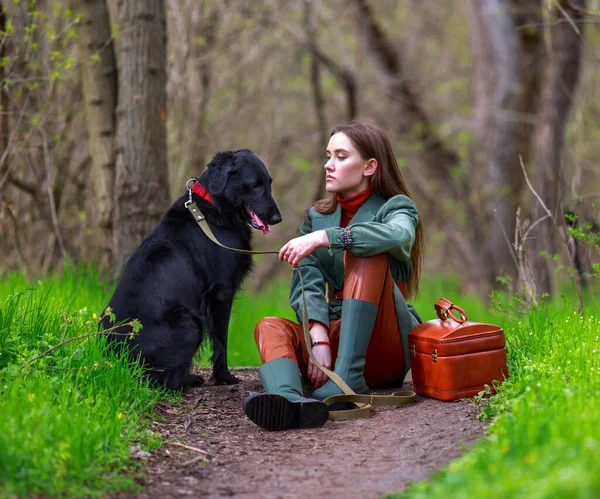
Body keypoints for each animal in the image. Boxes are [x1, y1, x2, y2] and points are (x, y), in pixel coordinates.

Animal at [101, 148, 282, 390]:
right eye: (254, 185)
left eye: (269, 183)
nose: (277, 218)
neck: (213, 209)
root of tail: (115, 360)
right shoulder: (221, 293)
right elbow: (221, 342)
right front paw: (224, 378)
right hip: (190, 325)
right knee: (162, 380)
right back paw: (190, 379)